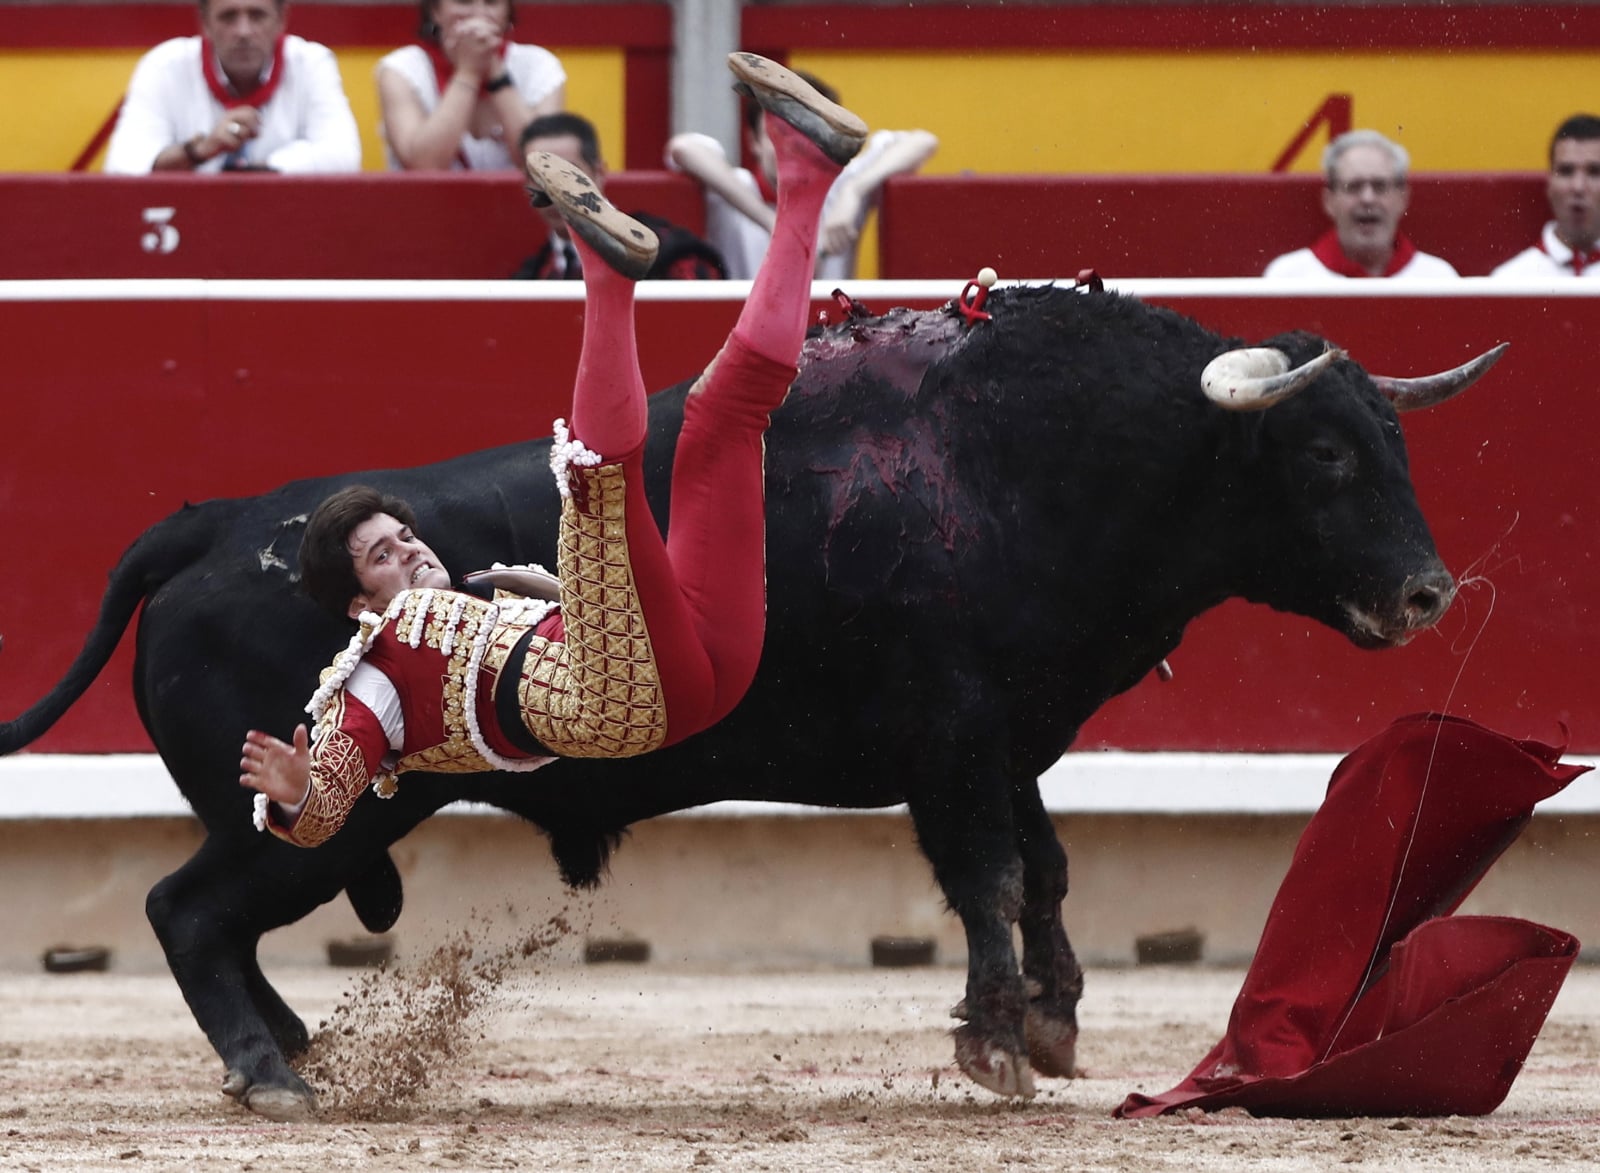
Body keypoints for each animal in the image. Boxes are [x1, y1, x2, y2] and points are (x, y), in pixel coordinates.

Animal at [0, 286, 1478, 1113]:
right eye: (1326, 454)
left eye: (1397, 444)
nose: (1425, 592)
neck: (1041, 457)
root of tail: (208, 523)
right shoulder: (953, 743)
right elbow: (992, 875)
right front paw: (995, 1045)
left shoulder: (1009, 738)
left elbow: (1049, 866)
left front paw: (1052, 1025)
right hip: (326, 816)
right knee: (186, 909)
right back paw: (275, 1073)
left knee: (212, 922)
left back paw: (285, 1050)